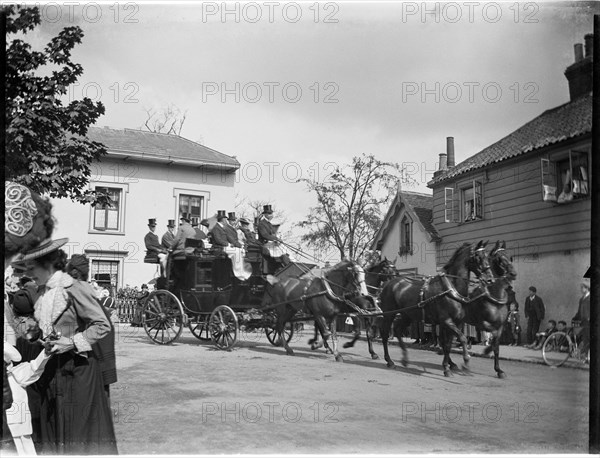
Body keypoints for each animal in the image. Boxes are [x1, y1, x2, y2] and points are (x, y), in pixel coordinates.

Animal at [380, 240, 492, 376]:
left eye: (487, 256)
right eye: (478, 257)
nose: (489, 278)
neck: (451, 288)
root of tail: (388, 284)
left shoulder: (455, 322)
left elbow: (448, 344)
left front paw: (448, 366)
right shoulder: (447, 321)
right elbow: (462, 338)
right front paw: (464, 362)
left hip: (407, 315)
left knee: (397, 329)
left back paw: (405, 359)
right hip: (389, 314)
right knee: (385, 334)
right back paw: (389, 361)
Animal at [452, 242, 516, 378]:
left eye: (510, 256)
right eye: (499, 259)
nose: (513, 273)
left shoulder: (501, 325)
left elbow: (496, 346)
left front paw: (499, 370)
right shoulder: (482, 323)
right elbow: (492, 338)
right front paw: (485, 350)